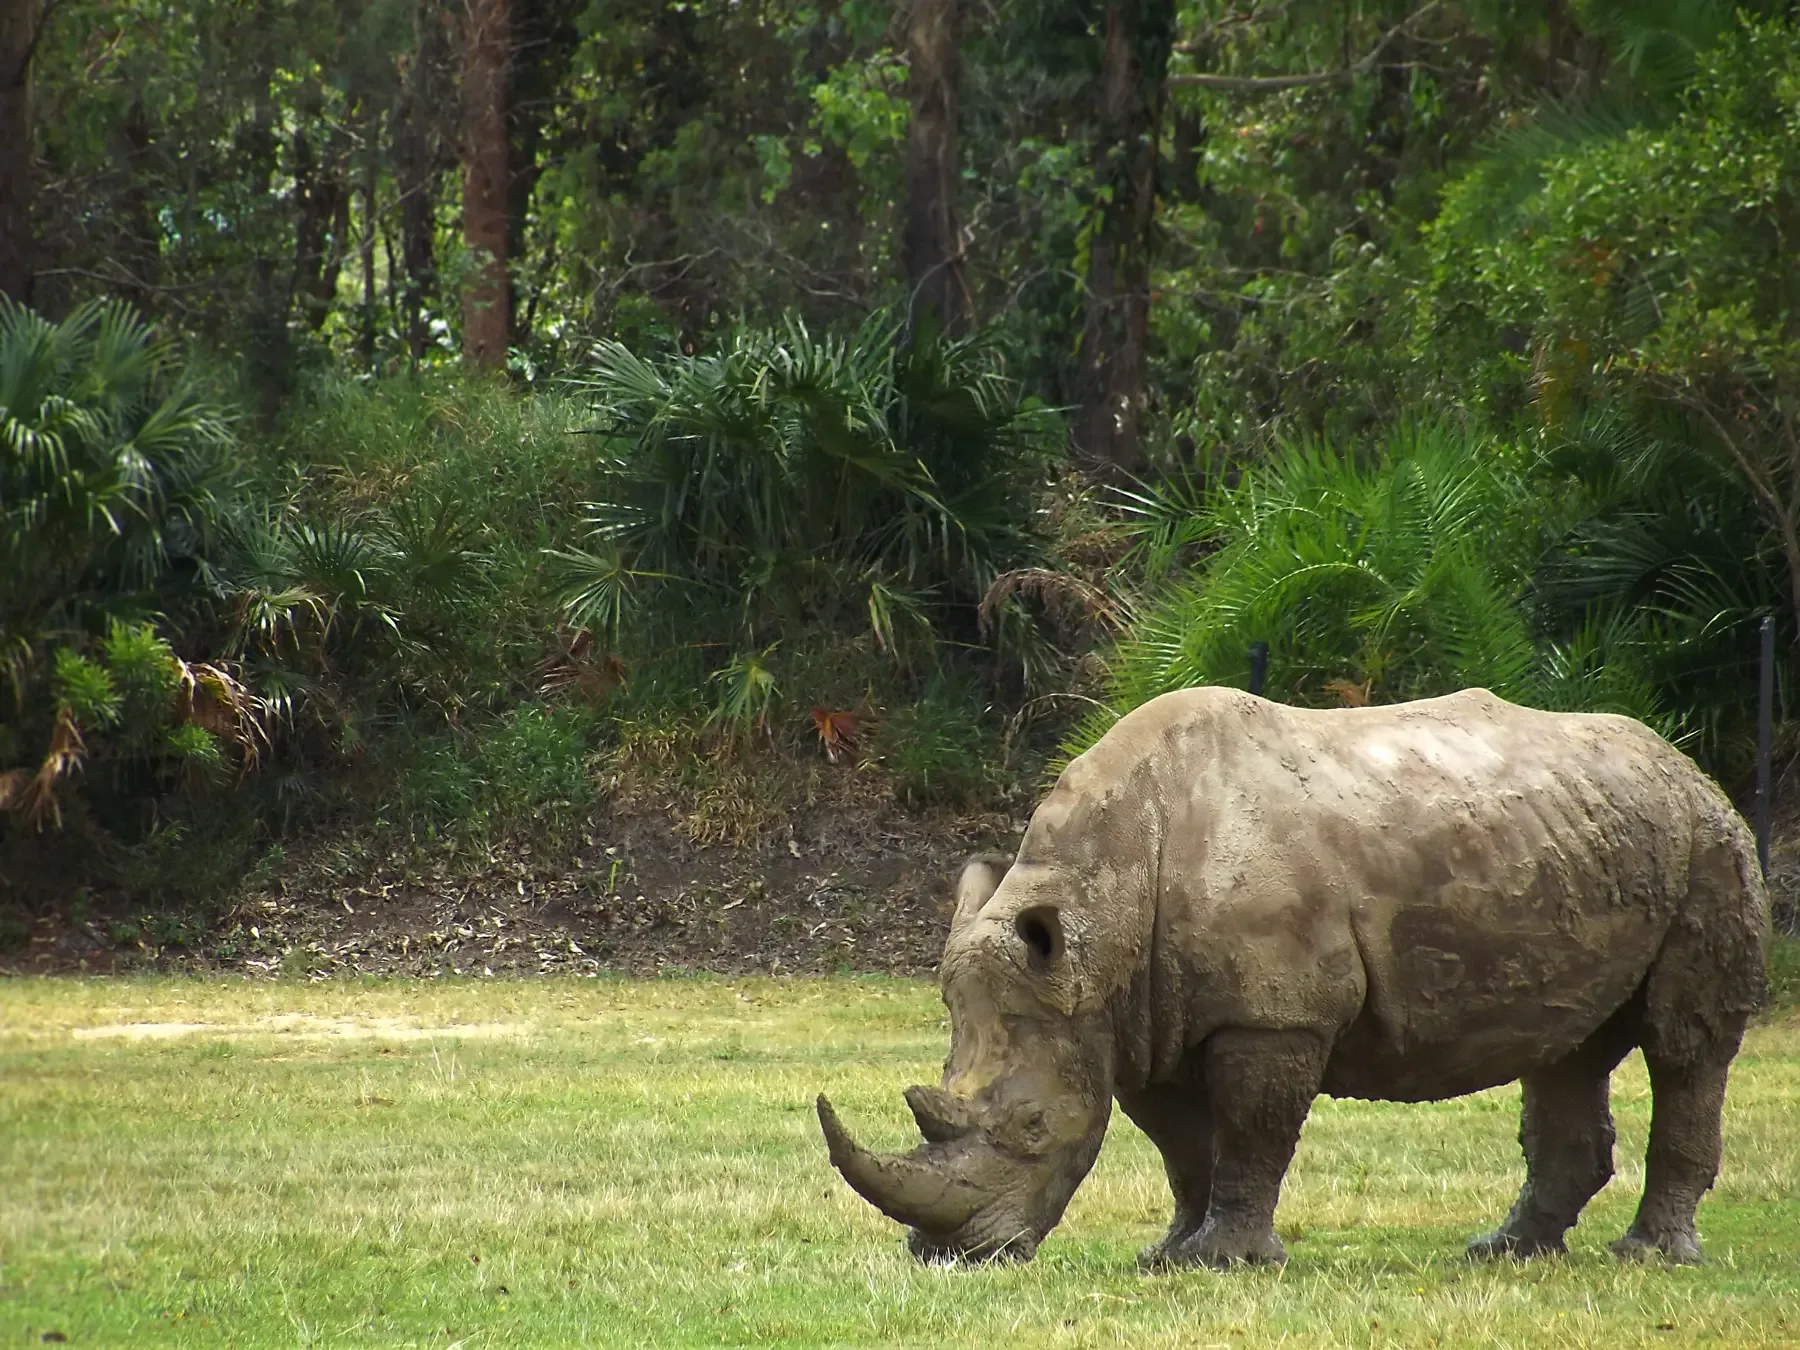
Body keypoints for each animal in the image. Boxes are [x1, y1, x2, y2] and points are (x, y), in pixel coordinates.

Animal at [818, 687, 1768, 1268]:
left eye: (1030, 1125)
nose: (949, 1256)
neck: (1099, 912)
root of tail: (1684, 763)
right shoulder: (1137, 1023)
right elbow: (1183, 1146)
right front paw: (1170, 1257)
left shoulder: (1271, 1017)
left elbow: (1250, 1132)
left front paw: (1226, 1262)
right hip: (1590, 841)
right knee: (1566, 1051)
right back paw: (1504, 1251)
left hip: (1710, 847)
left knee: (1685, 1049)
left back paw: (1648, 1256)